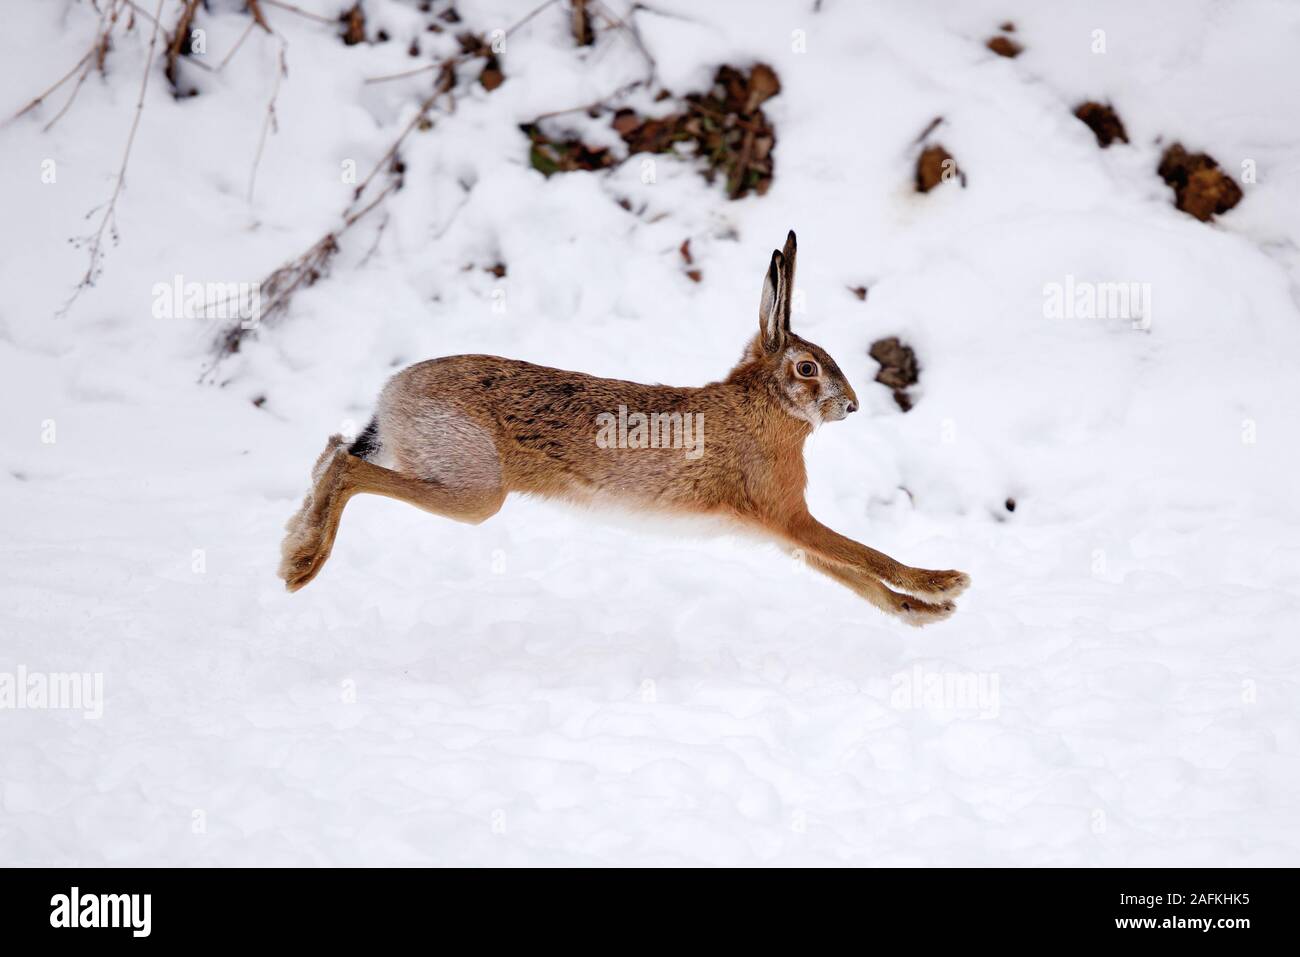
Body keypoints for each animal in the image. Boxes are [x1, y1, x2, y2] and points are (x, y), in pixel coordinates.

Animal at [280, 231, 969, 624]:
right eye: (807, 368)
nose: (851, 406)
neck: (763, 407)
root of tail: (392, 394)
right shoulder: (784, 514)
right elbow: (863, 553)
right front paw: (942, 585)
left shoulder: (778, 530)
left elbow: (848, 572)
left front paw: (920, 615)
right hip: (475, 491)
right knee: (347, 466)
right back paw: (302, 565)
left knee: (331, 452)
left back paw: (293, 545)